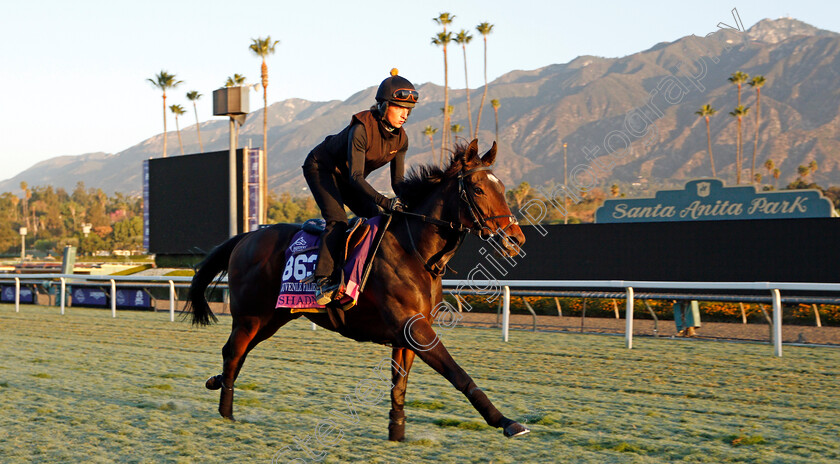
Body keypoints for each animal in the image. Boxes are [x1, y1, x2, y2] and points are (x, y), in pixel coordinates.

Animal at [190, 138, 532, 438]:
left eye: (502, 188)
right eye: (478, 189)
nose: (516, 239)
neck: (414, 251)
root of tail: (246, 237)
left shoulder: (409, 333)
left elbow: (398, 385)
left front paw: (397, 432)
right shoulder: (414, 326)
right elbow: (457, 373)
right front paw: (507, 422)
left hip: (274, 317)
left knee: (237, 353)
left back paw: (217, 382)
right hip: (251, 316)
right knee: (234, 352)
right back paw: (226, 412)